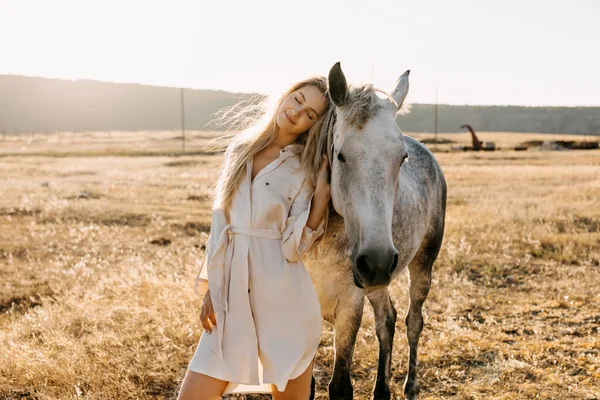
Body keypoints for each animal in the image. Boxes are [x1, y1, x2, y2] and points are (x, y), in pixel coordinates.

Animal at [304, 63, 446, 400]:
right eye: (340, 155)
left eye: (402, 158)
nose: (378, 261)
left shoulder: (350, 306)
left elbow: (340, 385)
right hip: (377, 281)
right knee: (387, 320)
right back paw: (382, 390)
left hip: (420, 266)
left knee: (413, 322)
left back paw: (410, 387)